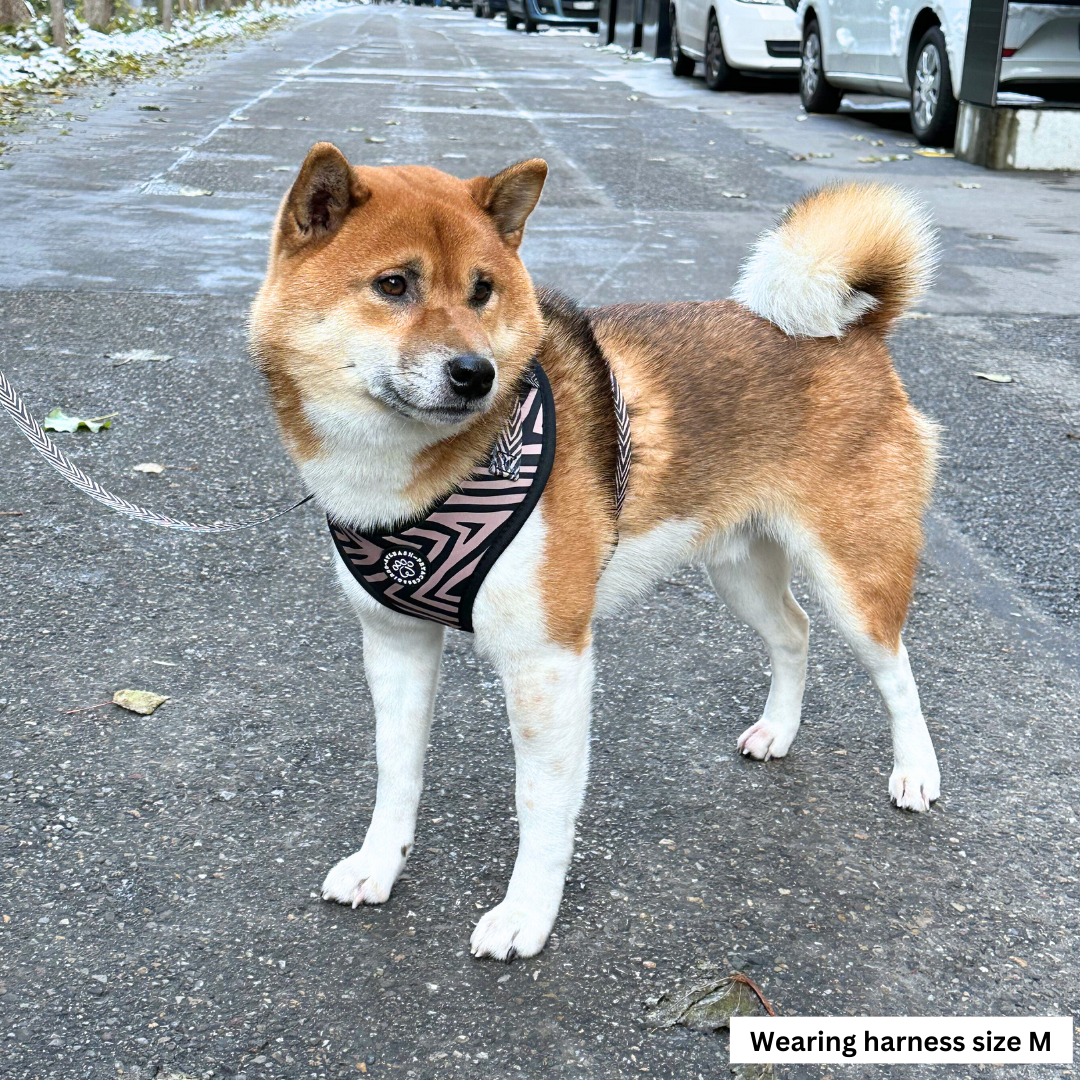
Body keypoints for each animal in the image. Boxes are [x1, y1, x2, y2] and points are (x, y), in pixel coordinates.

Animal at [248, 145, 941, 963]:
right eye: (394, 285)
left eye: (482, 291)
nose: (475, 374)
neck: (414, 483)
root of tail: (854, 331)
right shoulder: (394, 642)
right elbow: (396, 772)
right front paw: (379, 863)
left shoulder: (548, 661)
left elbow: (540, 806)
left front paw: (526, 915)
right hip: (738, 566)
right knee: (794, 635)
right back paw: (778, 730)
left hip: (854, 576)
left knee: (898, 673)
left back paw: (916, 773)